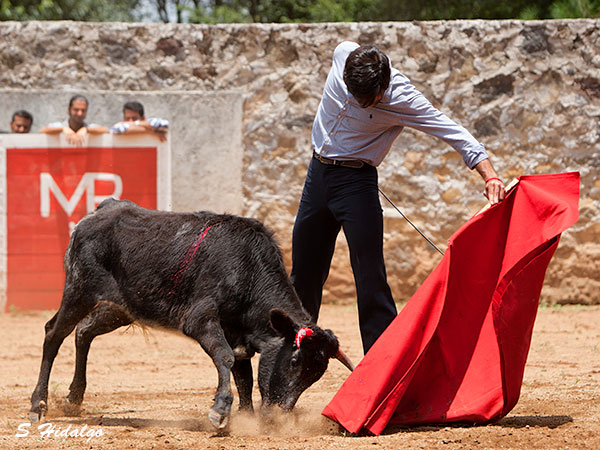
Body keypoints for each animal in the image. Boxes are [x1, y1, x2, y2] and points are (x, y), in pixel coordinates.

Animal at [29, 200, 352, 428]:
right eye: (295, 361)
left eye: (316, 376)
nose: (275, 417)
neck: (246, 270)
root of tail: (102, 209)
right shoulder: (200, 320)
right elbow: (226, 358)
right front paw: (220, 412)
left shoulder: (238, 334)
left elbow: (244, 376)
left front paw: (244, 417)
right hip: (79, 290)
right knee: (53, 334)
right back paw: (38, 405)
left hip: (119, 308)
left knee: (84, 331)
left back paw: (73, 398)